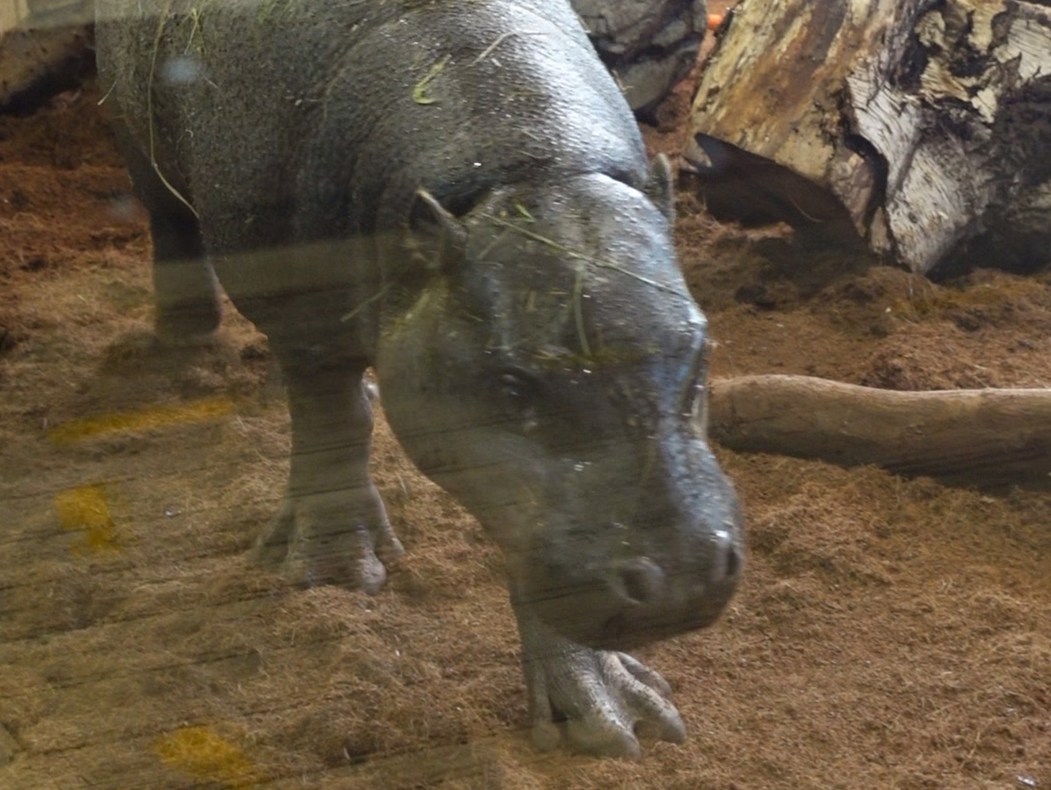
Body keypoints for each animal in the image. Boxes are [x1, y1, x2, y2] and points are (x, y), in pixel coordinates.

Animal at [94, 0, 743, 758]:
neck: (524, 168)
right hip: (137, 135)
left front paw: (615, 717)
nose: (682, 580)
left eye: (701, 350)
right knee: (168, 222)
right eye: (512, 386)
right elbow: (333, 416)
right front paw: (333, 572)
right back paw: (184, 343)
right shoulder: (299, 302)